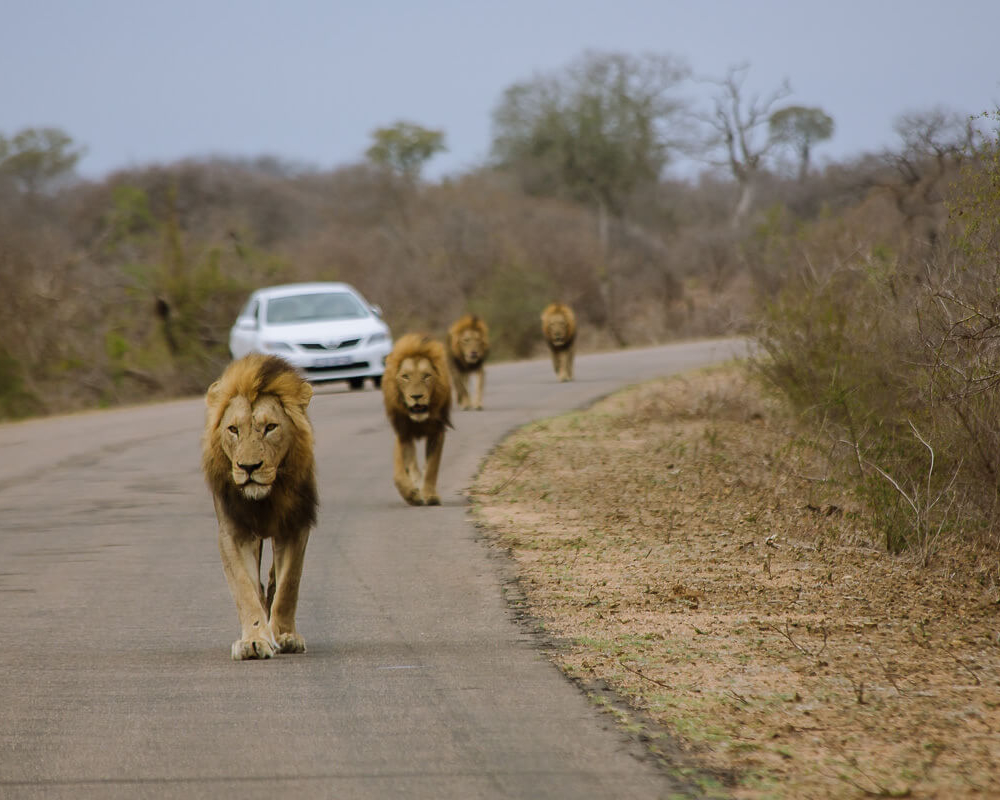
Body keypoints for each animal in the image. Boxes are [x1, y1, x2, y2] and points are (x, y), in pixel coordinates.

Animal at [202, 354, 318, 661]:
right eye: (233, 429)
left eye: (270, 427)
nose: (249, 467)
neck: (266, 497)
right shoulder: (234, 533)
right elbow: (245, 589)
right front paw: (253, 641)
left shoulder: (294, 527)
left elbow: (289, 585)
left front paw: (285, 636)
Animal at [382, 333, 452, 506]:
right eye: (405, 377)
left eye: (426, 376)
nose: (416, 396)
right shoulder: (403, 433)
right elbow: (406, 467)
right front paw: (412, 494)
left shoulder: (437, 431)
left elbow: (432, 466)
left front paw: (430, 495)